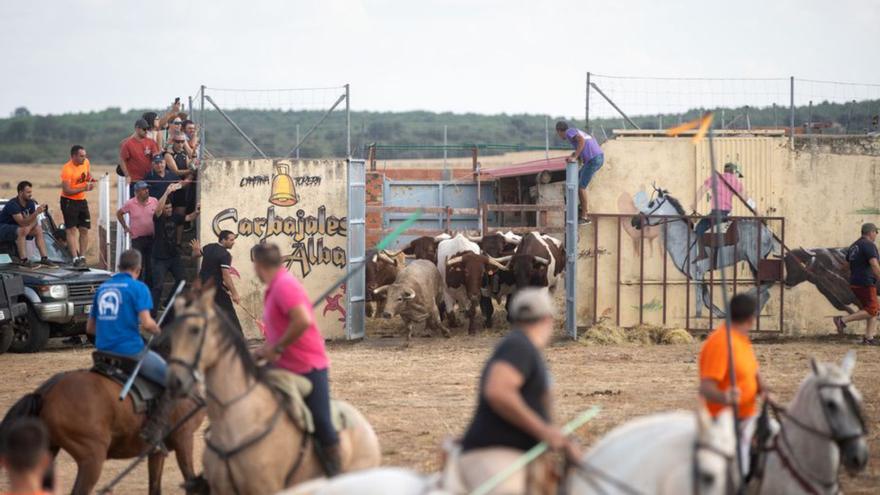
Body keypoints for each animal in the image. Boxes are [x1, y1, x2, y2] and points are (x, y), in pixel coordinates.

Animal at [168, 288, 382, 494]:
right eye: (172, 331)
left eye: (195, 329)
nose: (174, 381)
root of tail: (364, 426)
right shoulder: (221, 489)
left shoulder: (265, 488)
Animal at [632, 186, 776, 318]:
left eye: (651, 204)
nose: (634, 220)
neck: (685, 239)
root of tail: (768, 232)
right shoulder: (699, 275)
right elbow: (706, 298)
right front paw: (720, 314)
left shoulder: (697, 273)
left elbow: (699, 300)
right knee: (765, 290)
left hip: (755, 261)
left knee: (766, 287)